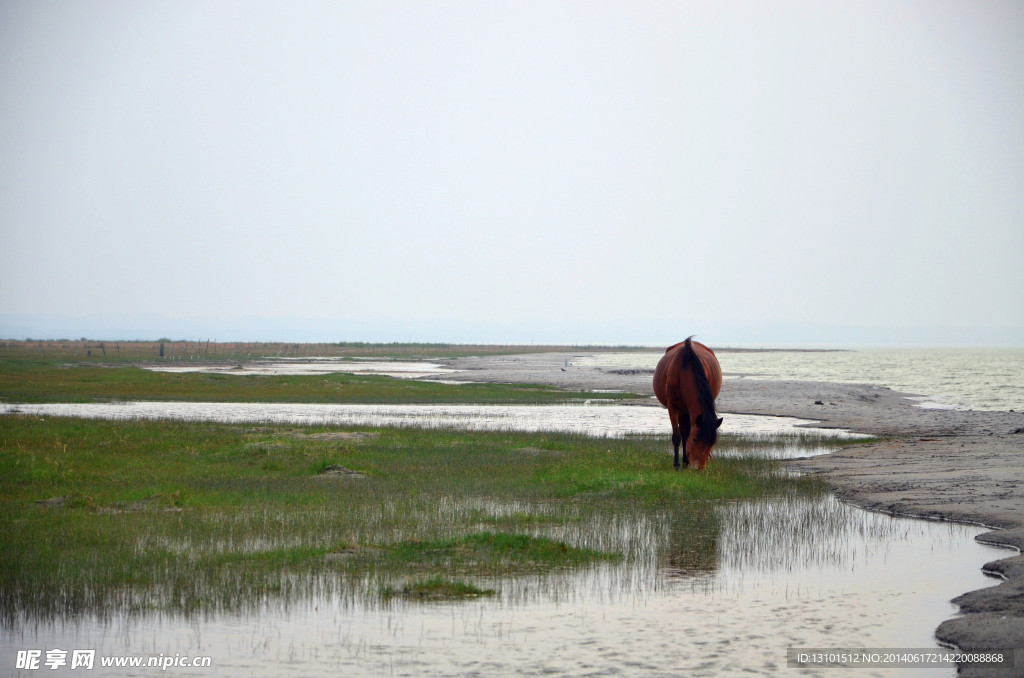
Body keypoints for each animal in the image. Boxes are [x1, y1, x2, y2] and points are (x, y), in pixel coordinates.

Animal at [651, 337, 724, 471]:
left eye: (711, 443)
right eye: (694, 440)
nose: (699, 468)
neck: (684, 370)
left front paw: (686, 462)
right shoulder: (673, 407)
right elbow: (677, 435)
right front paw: (676, 464)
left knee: (685, 431)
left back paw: (685, 461)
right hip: (682, 410)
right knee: (683, 432)